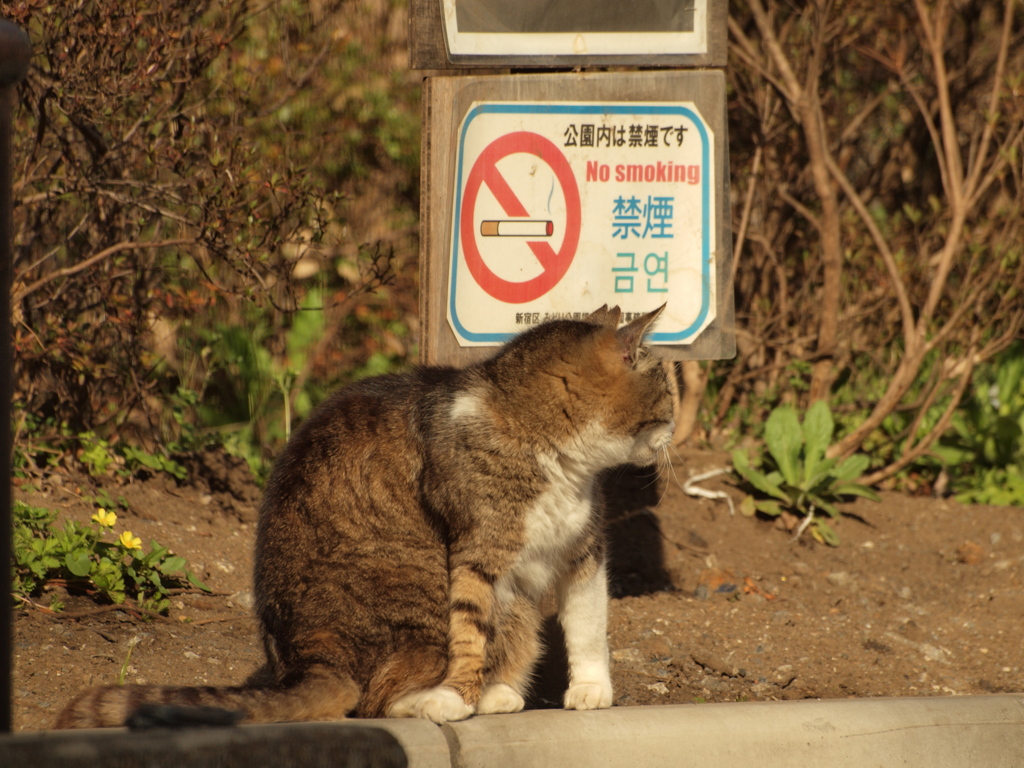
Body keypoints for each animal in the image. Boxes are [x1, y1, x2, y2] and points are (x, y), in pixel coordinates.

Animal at [59, 305, 675, 729]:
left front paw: (592, 691)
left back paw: (498, 693)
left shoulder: (583, 551)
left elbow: (589, 623)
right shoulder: (476, 556)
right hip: (423, 584)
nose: (673, 432)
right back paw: (449, 702)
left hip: (508, 605)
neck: (560, 458)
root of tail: (307, 658)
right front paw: (456, 695)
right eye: (668, 394)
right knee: (376, 698)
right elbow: (469, 633)